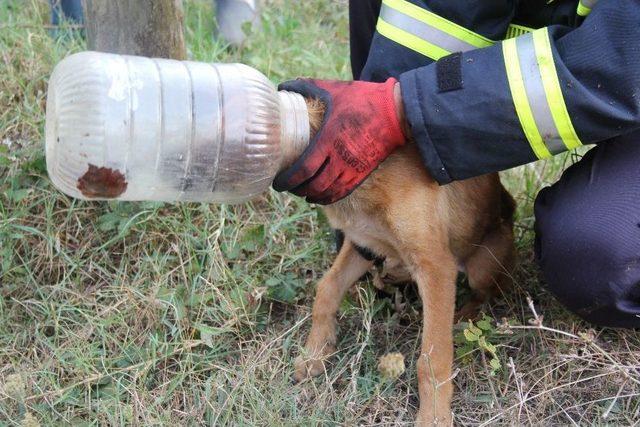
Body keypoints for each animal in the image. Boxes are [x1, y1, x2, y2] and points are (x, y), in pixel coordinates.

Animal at [292, 99, 516, 424]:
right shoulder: (363, 244)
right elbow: (327, 289)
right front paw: (315, 353)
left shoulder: (435, 266)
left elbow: (432, 358)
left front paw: (434, 415)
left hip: (481, 265)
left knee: (490, 290)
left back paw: (463, 315)